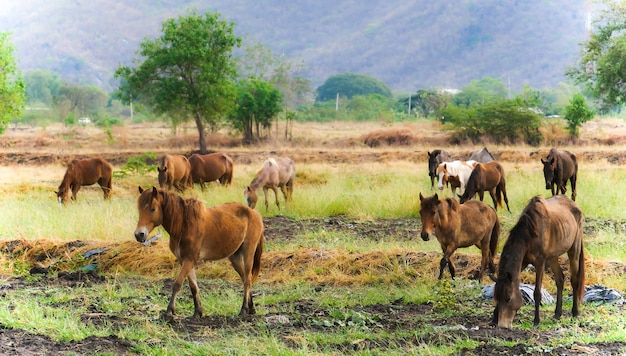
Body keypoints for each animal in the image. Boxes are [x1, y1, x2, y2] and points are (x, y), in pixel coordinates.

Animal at [134, 186, 264, 318]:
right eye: (139, 209)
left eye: (153, 209)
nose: (139, 235)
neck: (184, 225)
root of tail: (255, 213)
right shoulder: (184, 260)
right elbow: (193, 286)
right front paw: (198, 312)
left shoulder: (190, 259)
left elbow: (177, 284)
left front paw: (169, 311)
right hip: (235, 257)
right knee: (245, 278)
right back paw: (251, 308)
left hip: (248, 252)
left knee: (247, 280)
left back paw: (244, 309)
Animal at [490, 195, 584, 328]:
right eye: (496, 298)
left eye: (508, 299)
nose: (503, 325)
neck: (529, 234)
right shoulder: (523, 262)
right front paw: (494, 317)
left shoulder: (540, 262)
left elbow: (537, 293)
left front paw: (536, 320)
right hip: (552, 256)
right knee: (560, 279)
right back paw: (557, 313)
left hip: (574, 249)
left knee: (575, 280)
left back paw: (575, 313)